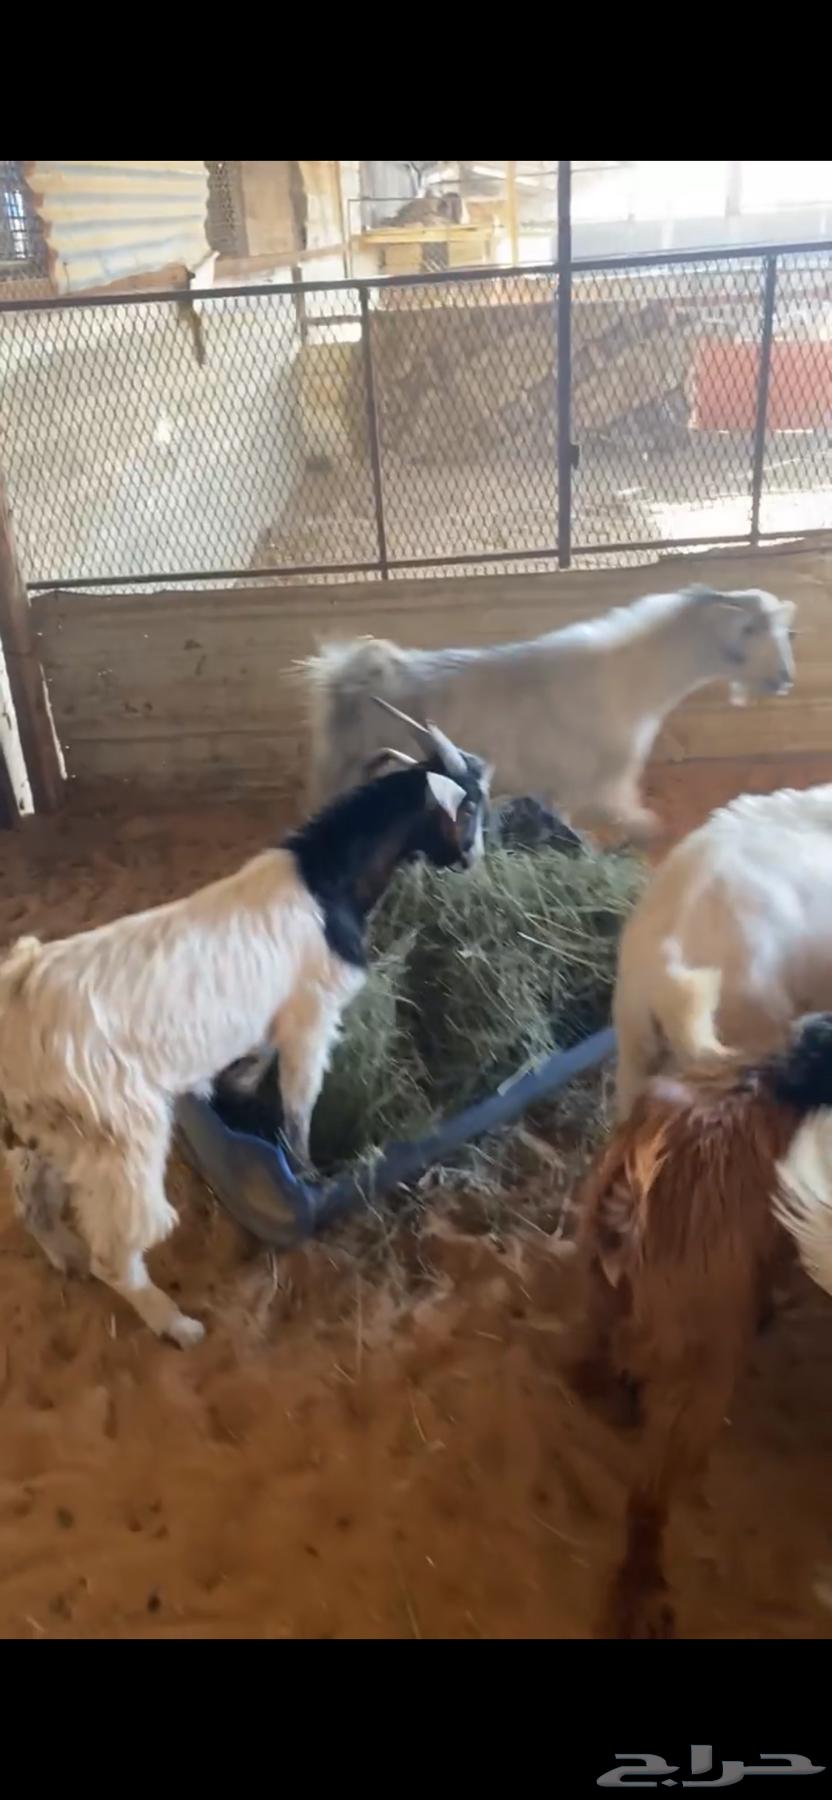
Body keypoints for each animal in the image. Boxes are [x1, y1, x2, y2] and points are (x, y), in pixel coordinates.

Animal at [0, 712, 490, 1347]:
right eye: (471, 805)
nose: (474, 859)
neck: (325, 881)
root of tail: (21, 990)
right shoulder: (311, 1016)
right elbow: (299, 1103)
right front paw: (308, 1174)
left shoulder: (269, 1023)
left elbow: (254, 1069)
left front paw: (236, 1097)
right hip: (121, 1136)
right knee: (116, 1247)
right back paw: (177, 1325)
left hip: (48, 1130)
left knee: (31, 1197)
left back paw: (66, 1257)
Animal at [302, 585, 795, 839]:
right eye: (750, 630)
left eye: (785, 631)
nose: (786, 678)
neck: (629, 680)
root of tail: (352, 676)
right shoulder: (599, 785)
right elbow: (631, 822)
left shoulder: (563, 787)